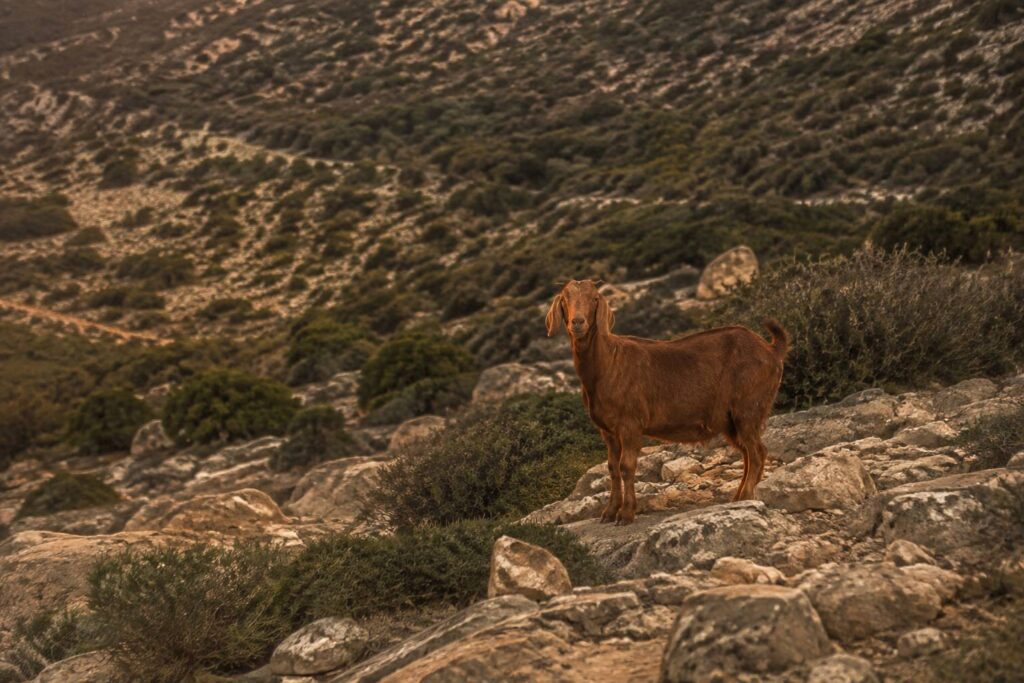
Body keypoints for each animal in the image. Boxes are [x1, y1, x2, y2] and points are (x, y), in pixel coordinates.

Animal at [546, 280, 789, 525]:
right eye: (564, 298)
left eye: (595, 298)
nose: (578, 322)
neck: (608, 363)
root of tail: (772, 350)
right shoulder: (608, 430)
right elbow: (612, 468)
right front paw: (609, 513)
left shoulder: (630, 424)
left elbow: (626, 467)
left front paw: (626, 514)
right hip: (731, 421)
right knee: (748, 453)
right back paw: (737, 497)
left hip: (748, 409)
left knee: (757, 452)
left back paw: (746, 497)